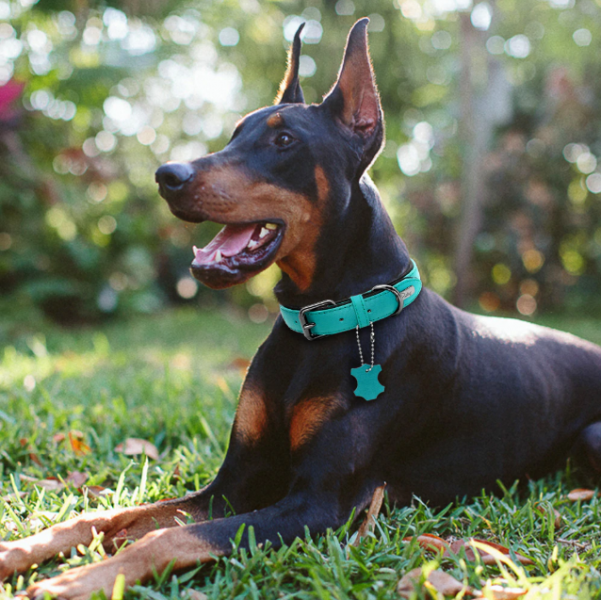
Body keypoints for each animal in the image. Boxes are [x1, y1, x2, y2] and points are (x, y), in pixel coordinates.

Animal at [3, 17, 600, 600]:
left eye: (284, 140)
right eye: (235, 133)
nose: (167, 176)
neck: (324, 321)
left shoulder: (318, 503)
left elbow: (165, 539)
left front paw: (78, 580)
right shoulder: (235, 481)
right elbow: (107, 517)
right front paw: (22, 550)